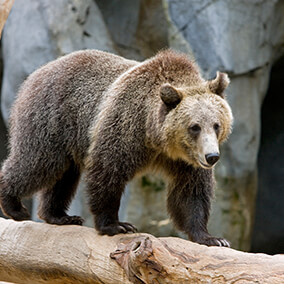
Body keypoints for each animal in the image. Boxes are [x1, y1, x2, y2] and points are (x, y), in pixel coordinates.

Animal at [0, 48, 233, 246]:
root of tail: (38, 72)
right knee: (37, 163)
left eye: (216, 125)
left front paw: (211, 237)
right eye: (195, 127)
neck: (156, 139)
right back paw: (14, 205)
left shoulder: (186, 160)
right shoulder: (125, 127)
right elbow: (107, 171)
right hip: (52, 119)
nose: (212, 156)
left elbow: (191, 192)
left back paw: (59, 215)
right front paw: (116, 225)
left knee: (64, 176)